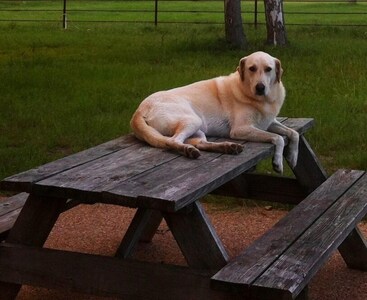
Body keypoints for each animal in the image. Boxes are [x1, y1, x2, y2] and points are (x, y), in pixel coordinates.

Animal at [131, 51, 300, 173]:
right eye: (252, 68)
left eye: (268, 69)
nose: (260, 87)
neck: (261, 99)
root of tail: (140, 109)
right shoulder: (240, 129)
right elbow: (278, 138)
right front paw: (278, 162)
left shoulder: (270, 122)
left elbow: (294, 133)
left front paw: (293, 157)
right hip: (193, 120)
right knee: (173, 141)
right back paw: (188, 150)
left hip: (198, 128)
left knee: (200, 143)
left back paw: (227, 147)